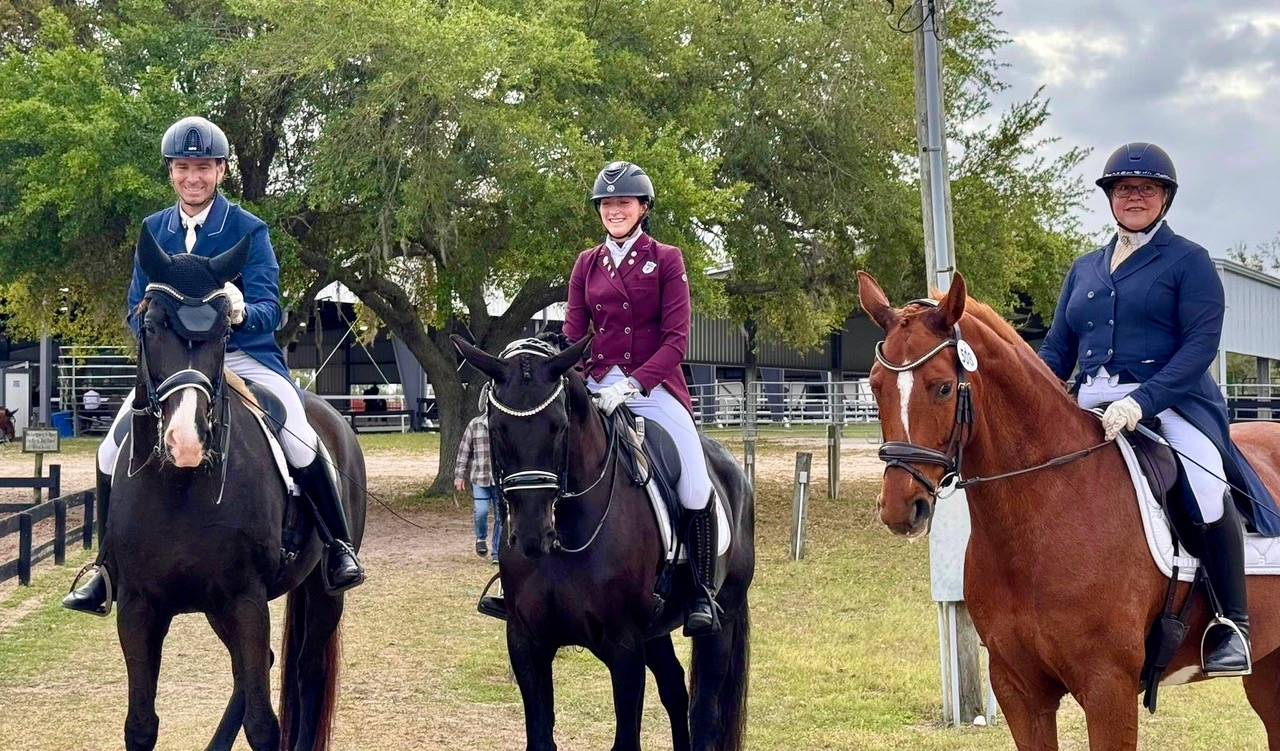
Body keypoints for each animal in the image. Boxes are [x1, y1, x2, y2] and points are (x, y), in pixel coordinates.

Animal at [453, 334, 754, 751]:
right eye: (497, 427)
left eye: (558, 426)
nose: (532, 536)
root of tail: (734, 471)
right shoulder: (526, 642)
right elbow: (540, 738)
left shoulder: (624, 647)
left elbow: (626, 740)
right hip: (655, 632)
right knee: (675, 689)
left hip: (719, 622)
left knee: (705, 715)